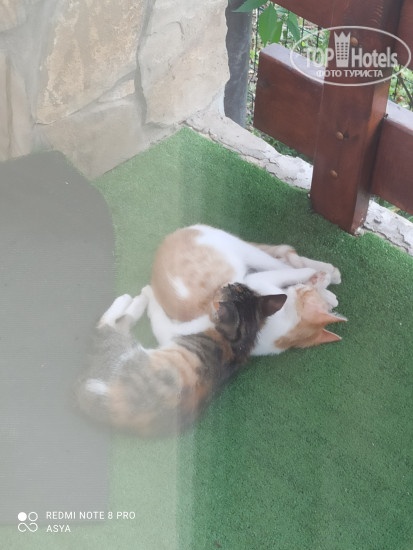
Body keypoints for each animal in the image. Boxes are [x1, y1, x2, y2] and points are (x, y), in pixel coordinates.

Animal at [76, 284, 287, 436]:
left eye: (231, 289)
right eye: (238, 287)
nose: (228, 283)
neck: (239, 341)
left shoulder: (172, 331)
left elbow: (159, 316)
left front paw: (150, 294)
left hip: (122, 351)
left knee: (109, 324)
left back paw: (132, 299)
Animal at [146, 224, 346, 354]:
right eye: (306, 294)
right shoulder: (255, 281)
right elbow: (294, 273)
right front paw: (319, 283)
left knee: (282, 258)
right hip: (241, 252)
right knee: (283, 261)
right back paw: (327, 277)